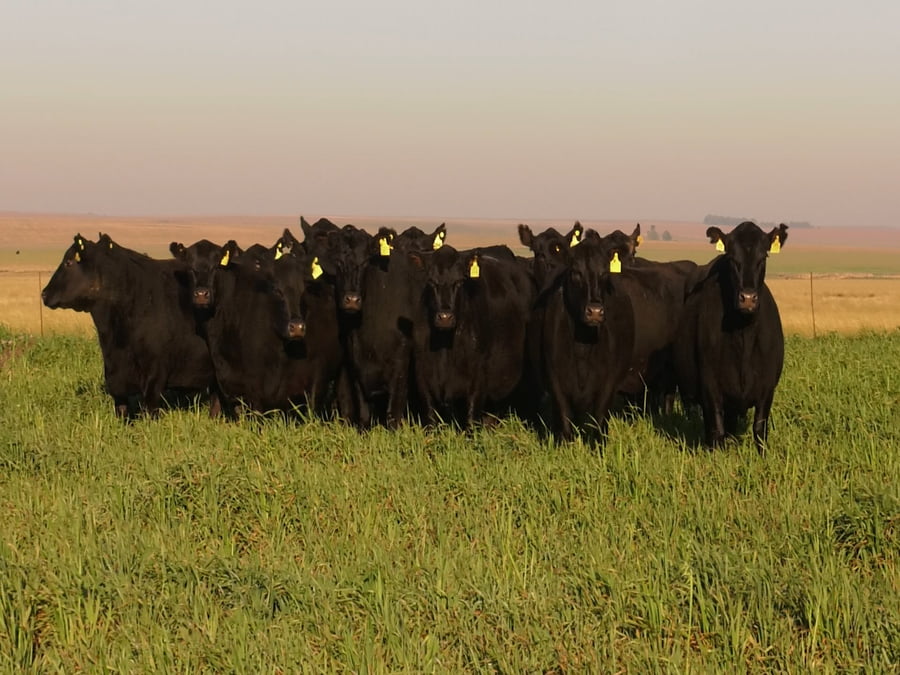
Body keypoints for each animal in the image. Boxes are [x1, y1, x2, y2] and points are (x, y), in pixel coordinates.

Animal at [41, 233, 216, 419]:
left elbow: (150, 409)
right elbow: (121, 409)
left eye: (68, 262)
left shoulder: (155, 373)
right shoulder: (115, 376)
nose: (44, 293)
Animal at [408, 244, 534, 428]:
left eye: (460, 281)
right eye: (430, 281)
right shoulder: (423, 375)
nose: (445, 317)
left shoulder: (478, 377)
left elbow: (471, 418)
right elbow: (430, 416)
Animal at [537, 236, 635, 442]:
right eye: (576, 272)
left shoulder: (608, 381)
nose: (595, 312)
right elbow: (564, 418)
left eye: (605, 272)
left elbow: (599, 419)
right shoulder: (555, 377)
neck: (582, 345)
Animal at [673, 221, 788, 450]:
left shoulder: (767, 387)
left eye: (763, 257)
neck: (743, 334)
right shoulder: (710, 385)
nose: (748, 298)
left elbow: (759, 430)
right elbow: (716, 430)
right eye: (732, 257)